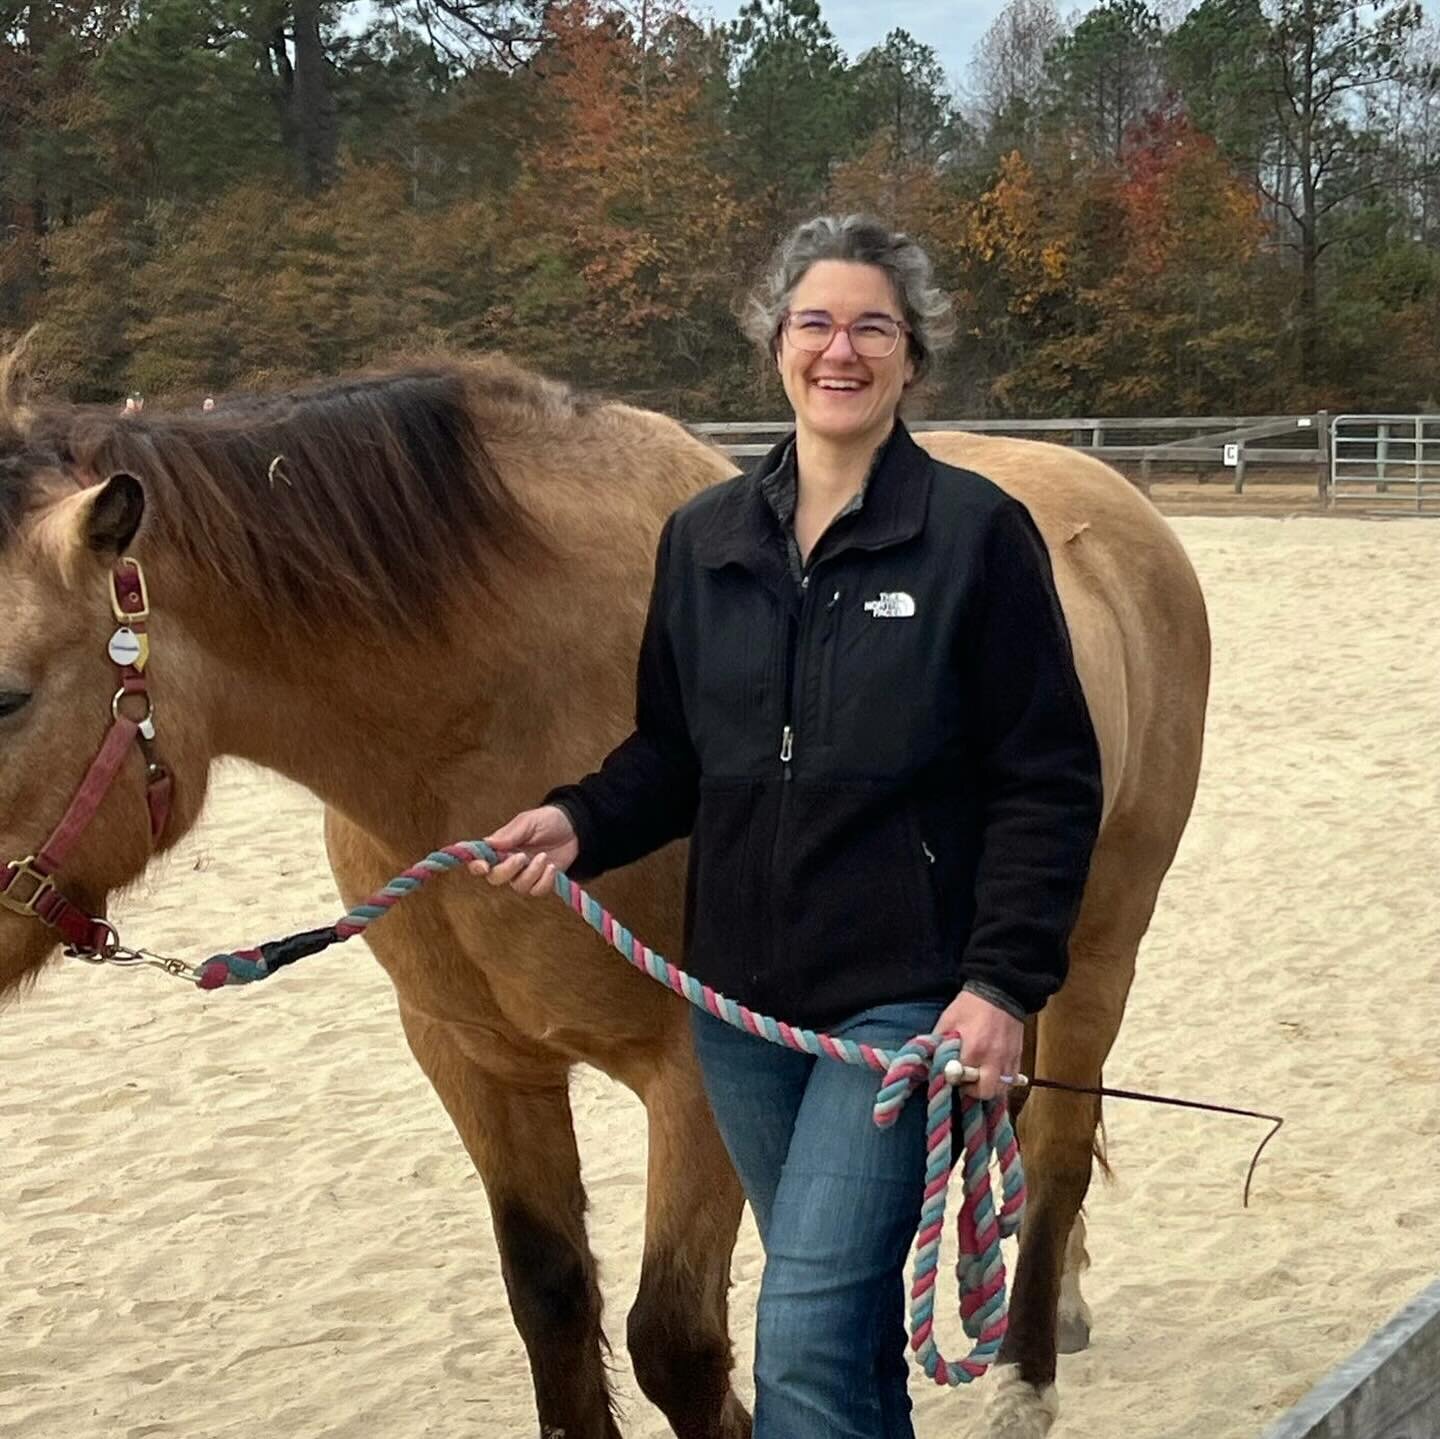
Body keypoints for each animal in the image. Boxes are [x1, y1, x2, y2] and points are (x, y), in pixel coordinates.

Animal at [0, 351, 1209, 1439]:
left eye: (9, 695)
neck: (499, 714)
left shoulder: (701, 1066)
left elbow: (675, 1340)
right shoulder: (473, 1057)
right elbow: (550, 1299)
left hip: (1102, 943)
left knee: (1055, 1140)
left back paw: (1025, 1376)